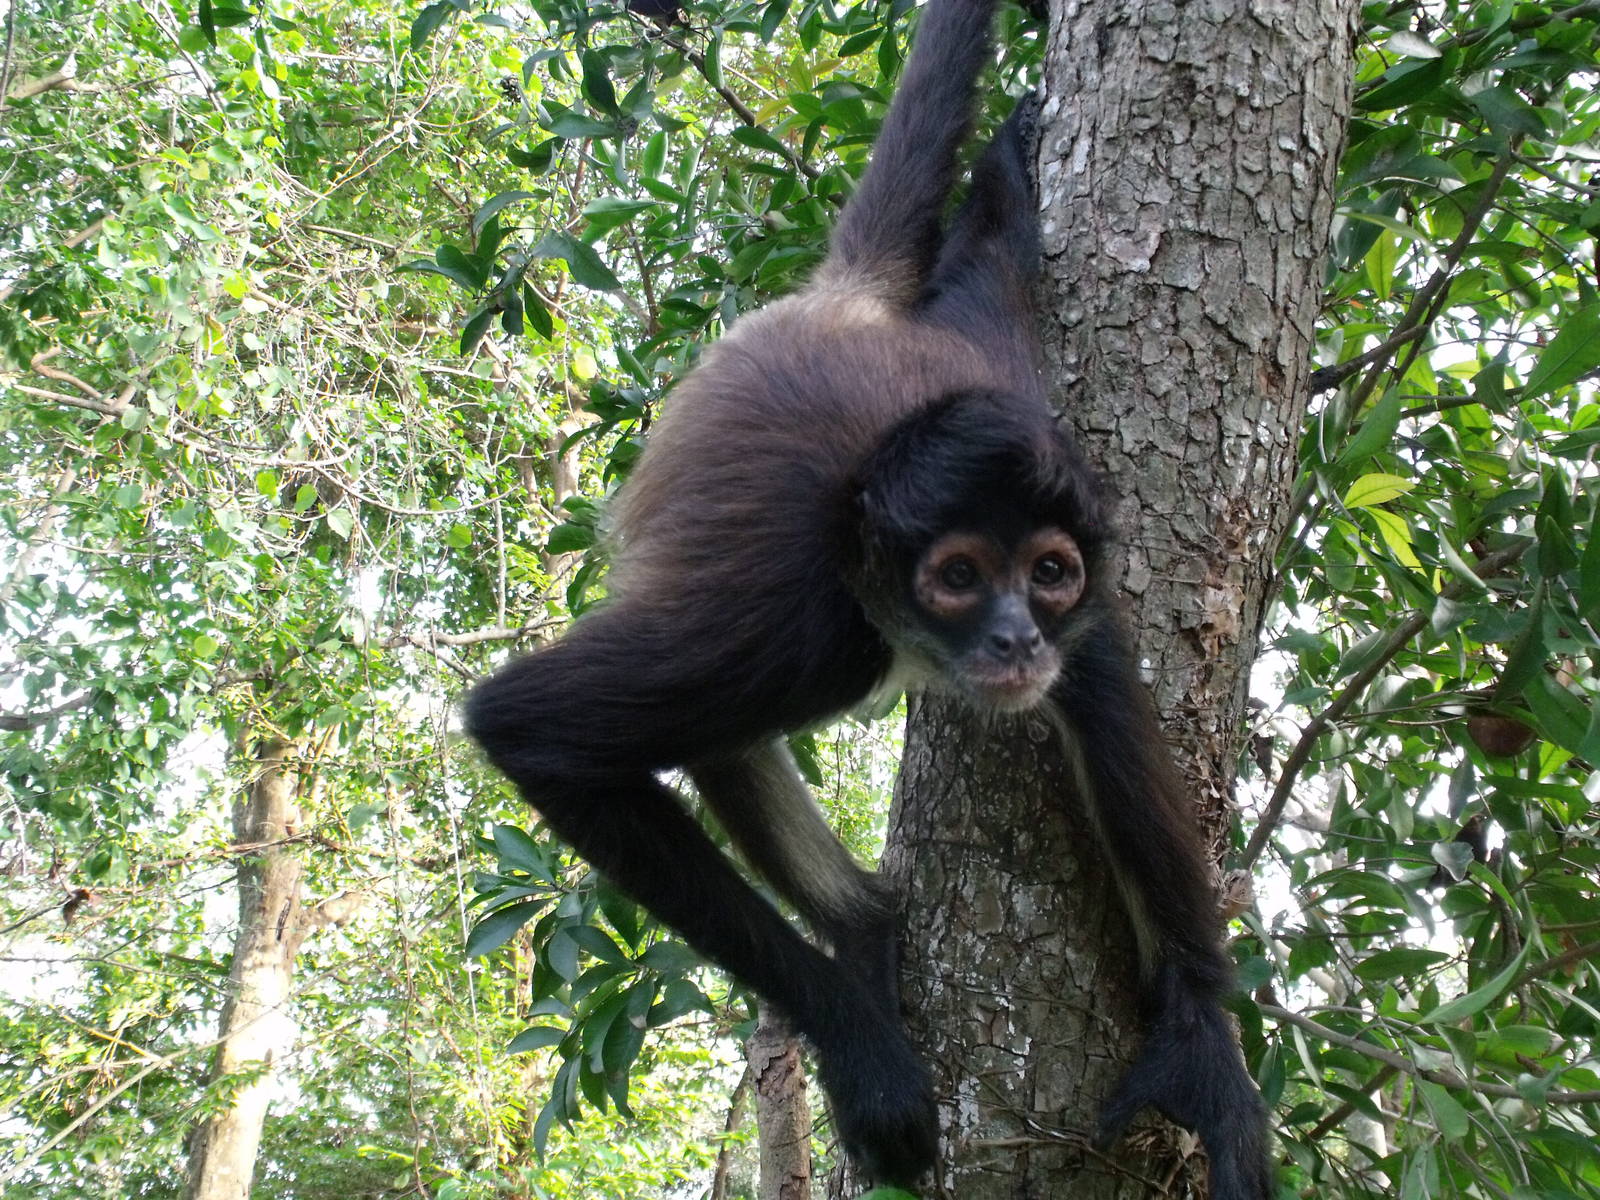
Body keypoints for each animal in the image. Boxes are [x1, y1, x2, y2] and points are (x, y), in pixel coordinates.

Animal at [464, 0, 1272, 1193]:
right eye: (958, 578)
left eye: (1047, 572)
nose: (1015, 636)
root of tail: (835, 306)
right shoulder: (791, 628)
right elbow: (526, 726)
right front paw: (858, 1047)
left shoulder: (1069, 539)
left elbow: (1102, 698)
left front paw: (1198, 1044)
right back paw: (860, 933)